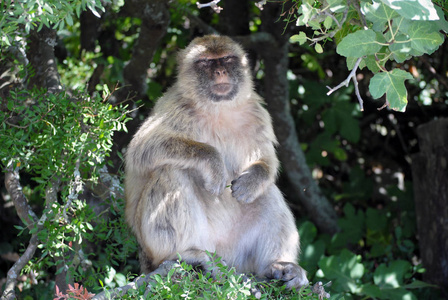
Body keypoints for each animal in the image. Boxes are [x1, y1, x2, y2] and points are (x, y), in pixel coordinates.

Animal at [124, 35, 310, 290]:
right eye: (206, 62)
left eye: (227, 59)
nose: (220, 71)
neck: (218, 110)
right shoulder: (173, 107)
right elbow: (142, 149)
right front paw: (213, 163)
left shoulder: (258, 114)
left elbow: (266, 160)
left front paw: (253, 179)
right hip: (162, 250)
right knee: (171, 172)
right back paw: (184, 254)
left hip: (238, 256)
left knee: (268, 193)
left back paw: (279, 267)